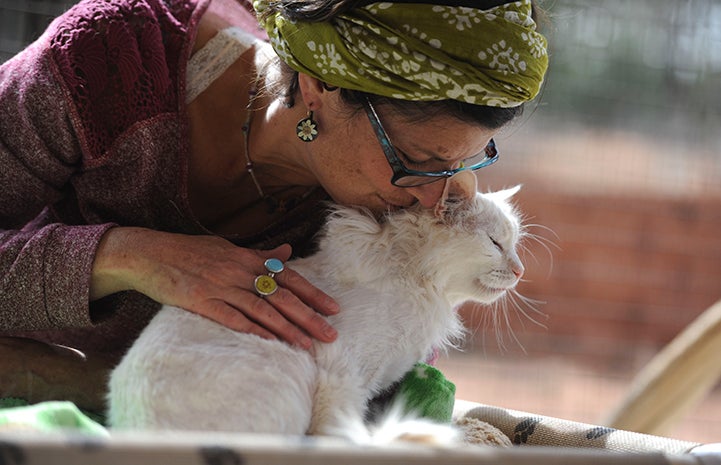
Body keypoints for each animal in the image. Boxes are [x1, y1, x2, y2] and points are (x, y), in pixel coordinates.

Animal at [107, 186, 524, 442]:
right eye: (495, 243)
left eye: (514, 243)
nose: (520, 270)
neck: (416, 283)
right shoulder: (343, 378)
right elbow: (340, 436)